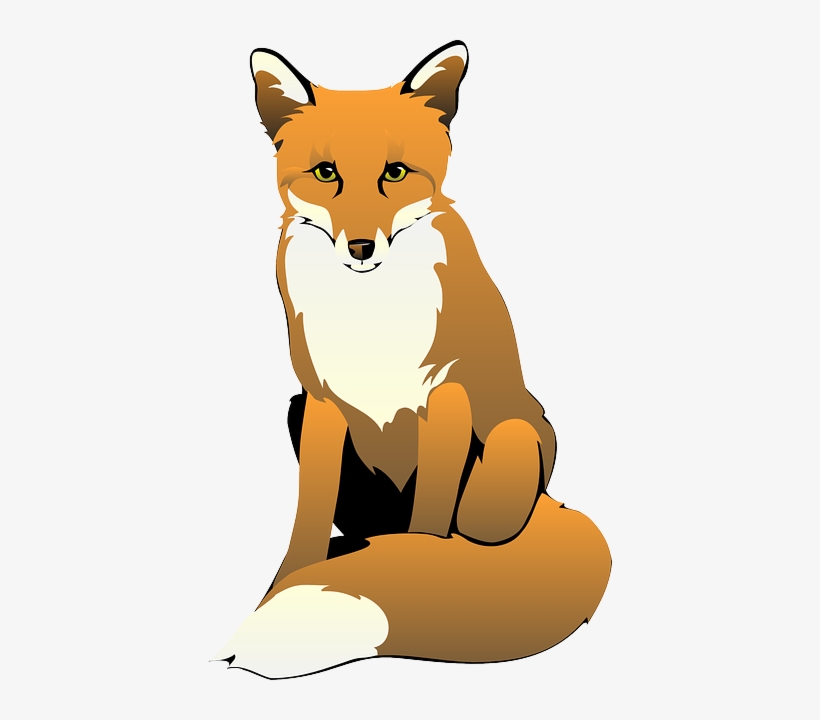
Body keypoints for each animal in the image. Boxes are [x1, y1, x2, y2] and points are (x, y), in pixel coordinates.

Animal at [213, 40, 611, 679]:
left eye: (395, 173)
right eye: (326, 173)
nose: (360, 247)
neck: (372, 318)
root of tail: (555, 504)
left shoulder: (445, 399)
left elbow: (427, 529)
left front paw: (423, 578)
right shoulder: (319, 401)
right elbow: (306, 525)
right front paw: (282, 587)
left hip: (511, 450)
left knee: (461, 523)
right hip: (295, 412)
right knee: (366, 535)